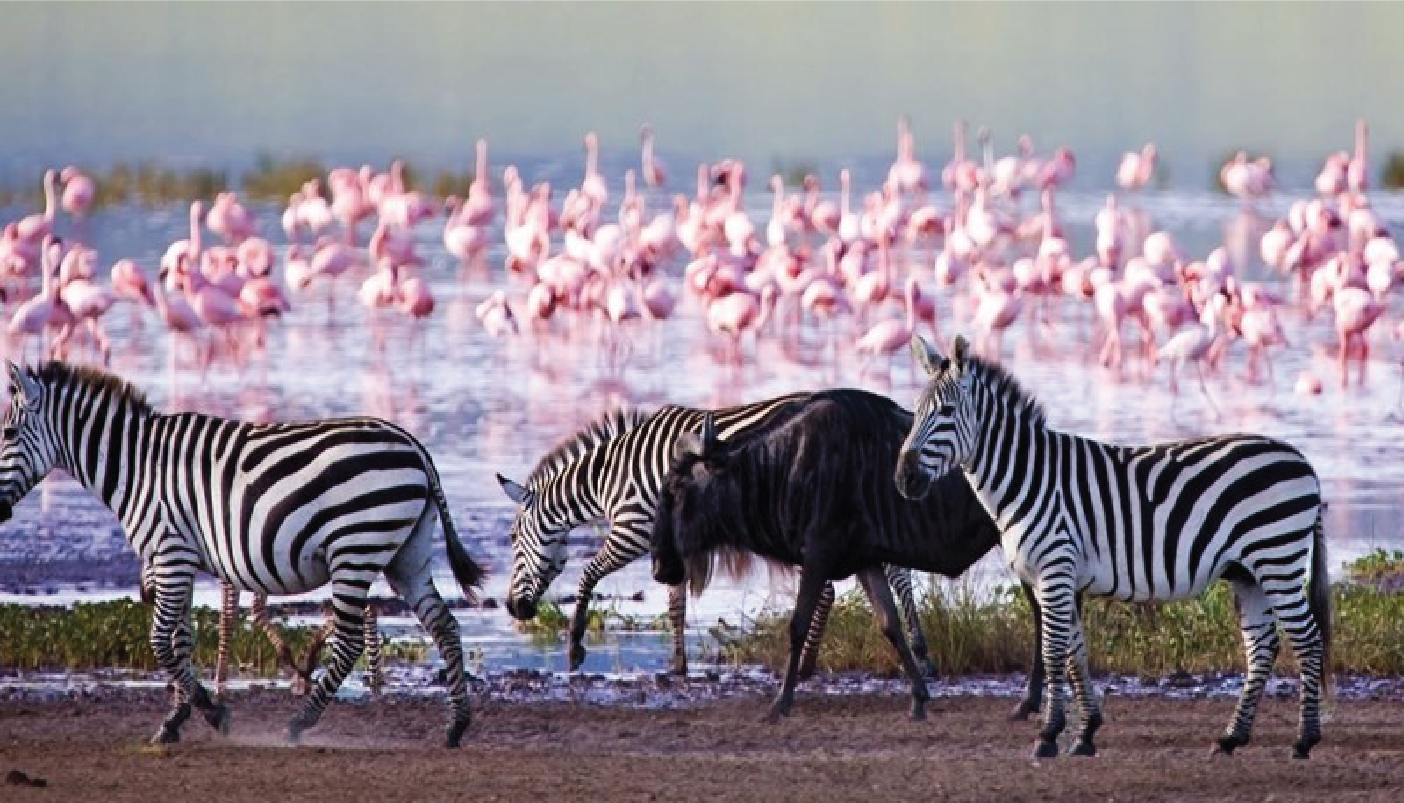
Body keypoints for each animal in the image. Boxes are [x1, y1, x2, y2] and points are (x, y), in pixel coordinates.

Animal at [0, 361, 485, 747]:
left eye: (6, 432)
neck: (136, 468)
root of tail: (415, 447)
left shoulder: (171, 553)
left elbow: (160, 641)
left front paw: (212, 714)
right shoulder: (180, 559)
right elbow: (180, 640)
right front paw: (176, 719)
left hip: (355, 548)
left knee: (349, 641)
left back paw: (300, 723)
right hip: (406, 553)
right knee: (444, 625)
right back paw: (456, 726)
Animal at [496, 393, 934, 677]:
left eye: (514, 539)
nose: (513, 609)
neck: (608, 478)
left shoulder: (632, 531)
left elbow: (588, 576)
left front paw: (574, 648)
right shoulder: (670, 543)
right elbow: (676, 605)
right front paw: (678, 666)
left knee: (843, 585)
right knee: (892, 573)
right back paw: (917, 651)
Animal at [893, 334, 1331, 760]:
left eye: (947, 412)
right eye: (916, 411)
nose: (903, 478)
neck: (1027, 479)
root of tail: (1303, 460)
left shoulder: (1055, 570)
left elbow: (1053, 654)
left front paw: (1048, 734)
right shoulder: (1059, 577)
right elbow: (1075, 655)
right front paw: (1085, 733)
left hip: (1277, 559)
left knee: (1308, 640)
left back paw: (1304, 740)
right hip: (1248, 573)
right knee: (1262, 647)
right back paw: (1231, 738)